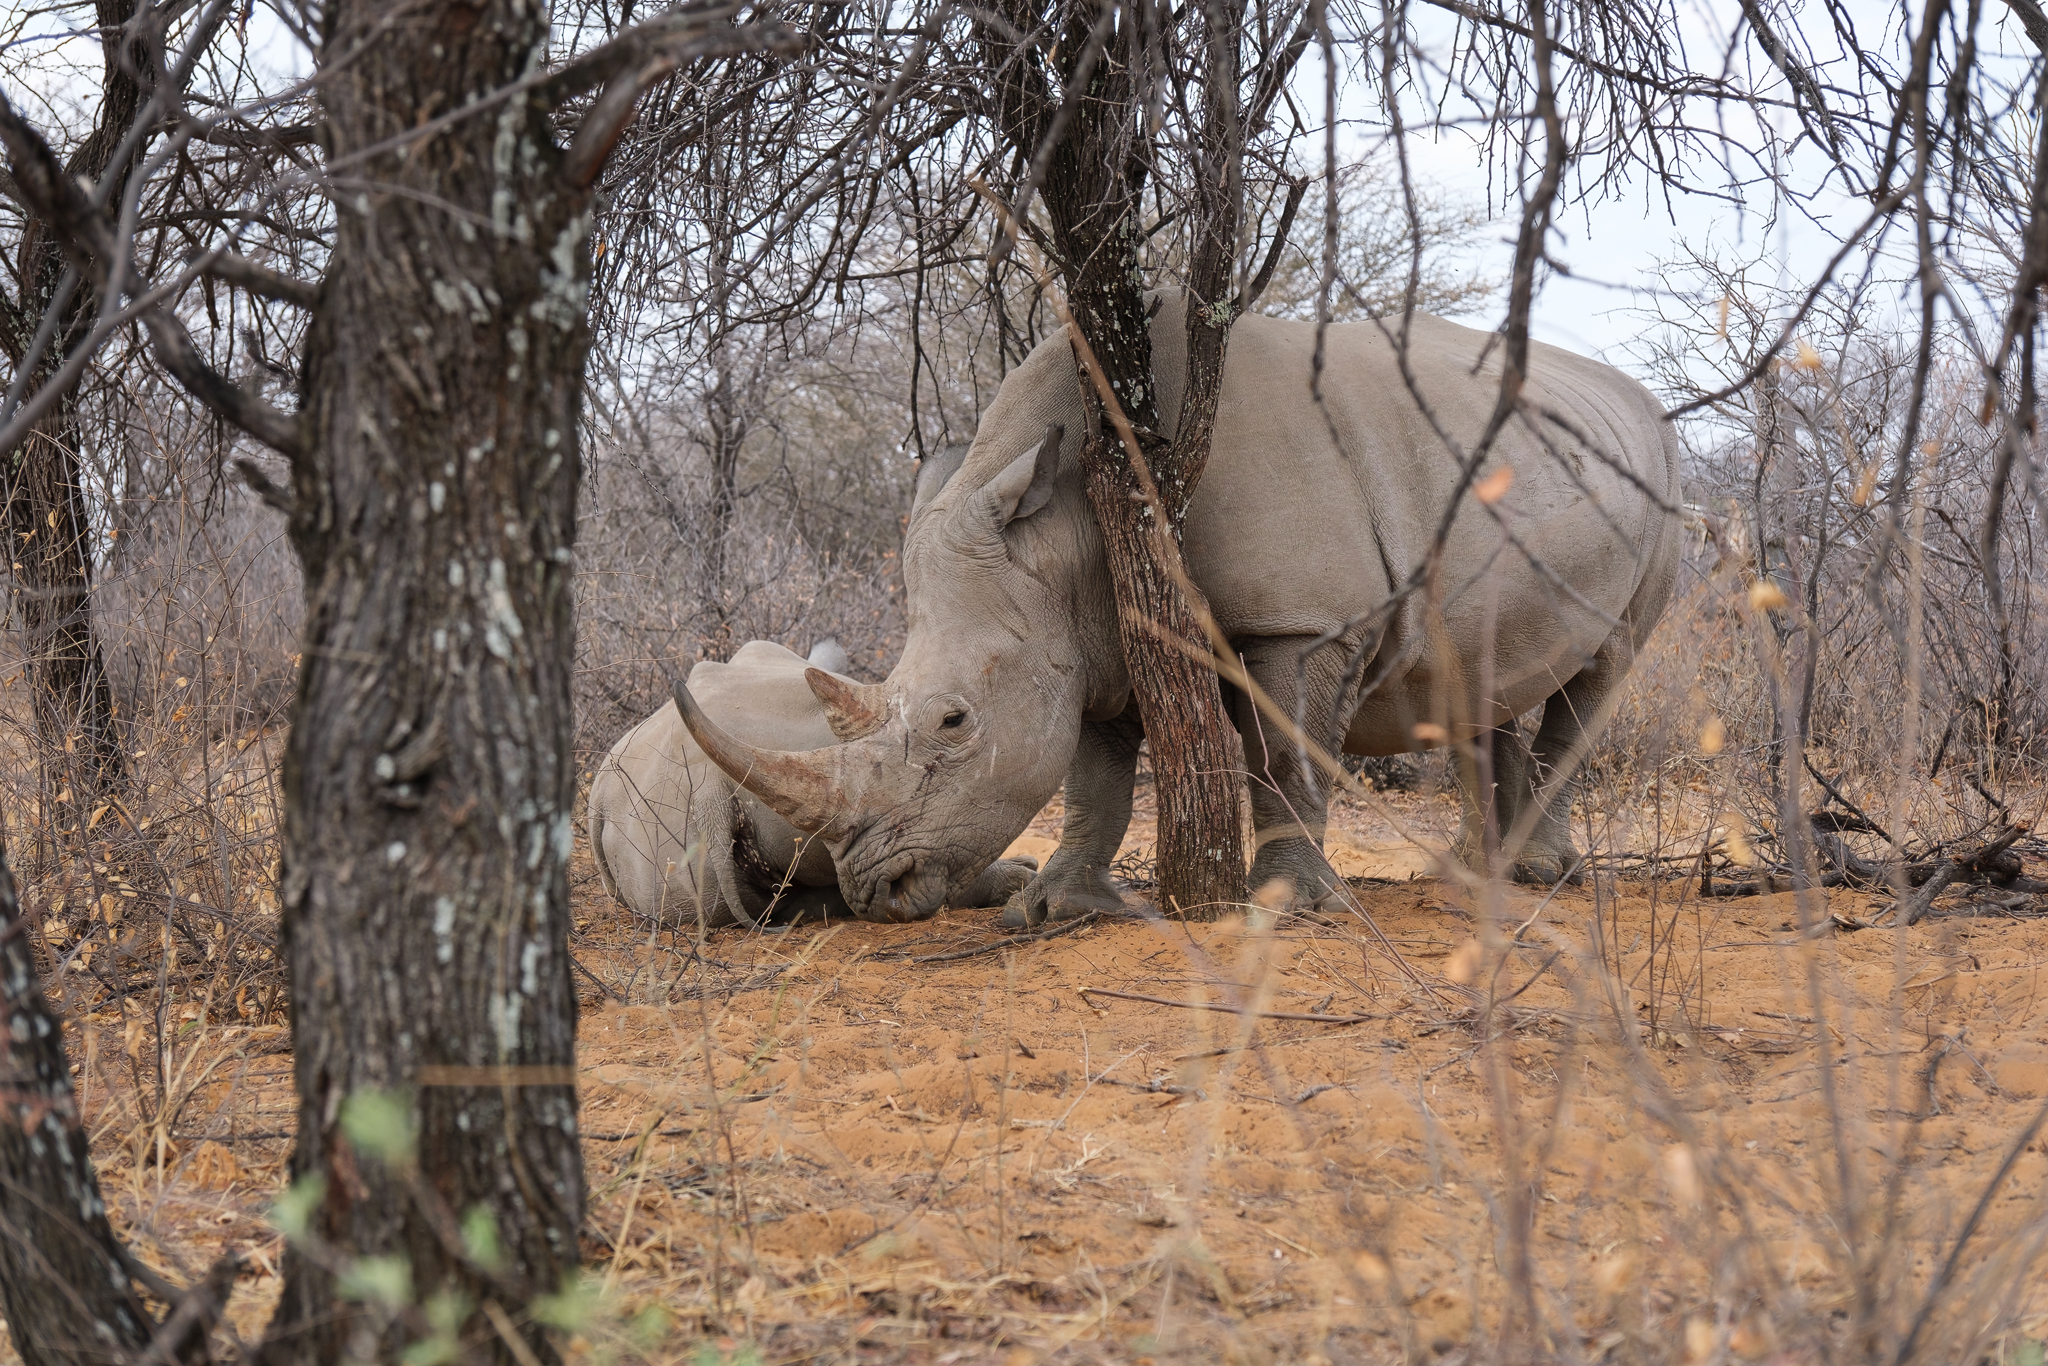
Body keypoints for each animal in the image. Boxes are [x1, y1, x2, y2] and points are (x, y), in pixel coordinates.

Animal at [671, 294, 1679, 925]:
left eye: (954, 722)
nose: (873, 892)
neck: (1068, 531)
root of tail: (1646, 406)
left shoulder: (1299, 620)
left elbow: (1280, 757)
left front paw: (1290, 907)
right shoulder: (1085, 635)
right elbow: (1094, 777)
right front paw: (1052, 910)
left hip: (1666, 493)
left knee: (1605, 667)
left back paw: (1538, 879)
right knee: (1483, 674)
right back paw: (1479, 872)